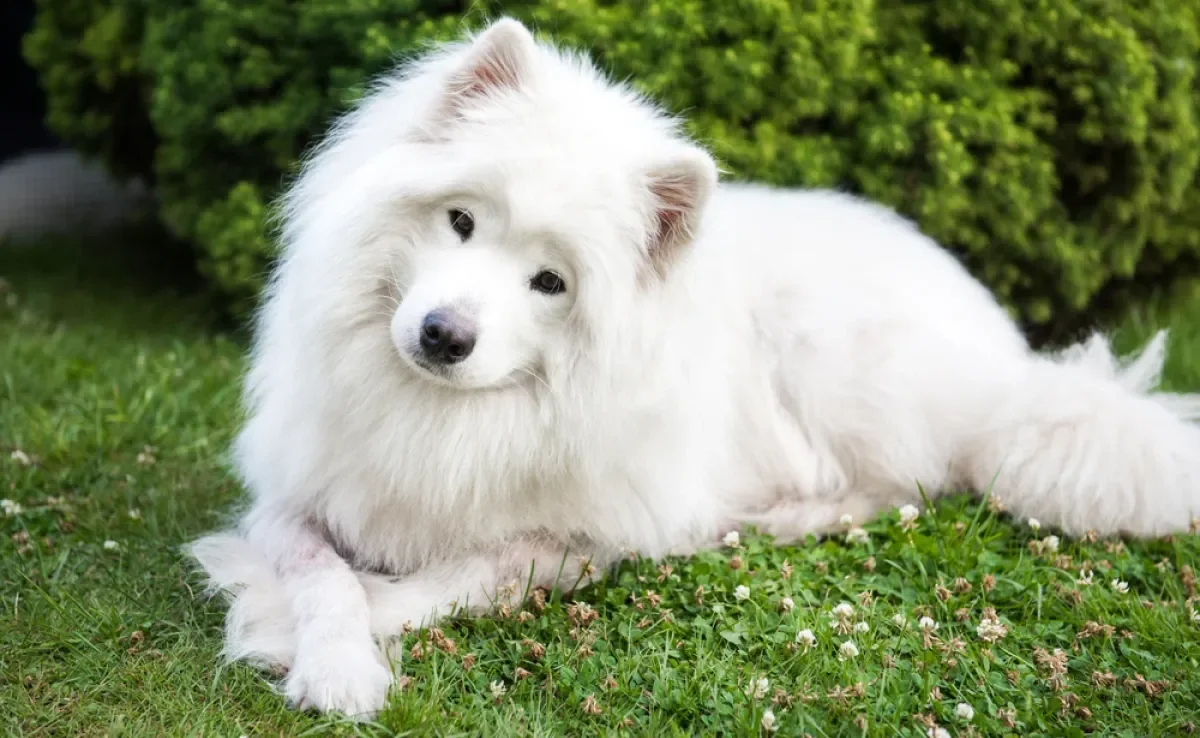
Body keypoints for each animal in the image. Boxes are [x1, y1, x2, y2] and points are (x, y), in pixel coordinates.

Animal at [192, 17, 1200, 720]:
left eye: (550, 282)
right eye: (462, 221)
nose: (445, 335)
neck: (452, 416)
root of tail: (1009, 357)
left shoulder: (587, 538)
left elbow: (456, 579)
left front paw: (310, 629)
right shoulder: (295, 493)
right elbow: (322, 575)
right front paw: (330, 655)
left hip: (832, 365)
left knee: (904, 486)